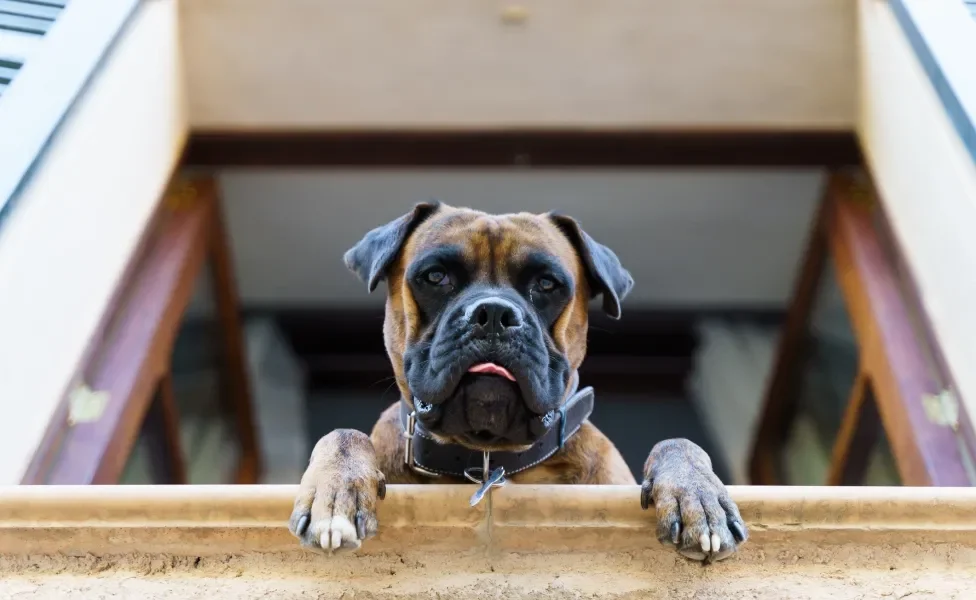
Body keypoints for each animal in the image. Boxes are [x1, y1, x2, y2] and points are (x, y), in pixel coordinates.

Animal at [288, 202, 748, 564]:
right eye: (435, 277)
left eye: (546, 283)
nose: (492, 313)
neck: (491, 460)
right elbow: (342, 435)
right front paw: (336, 490)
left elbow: (677, 443)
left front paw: (698, 495)